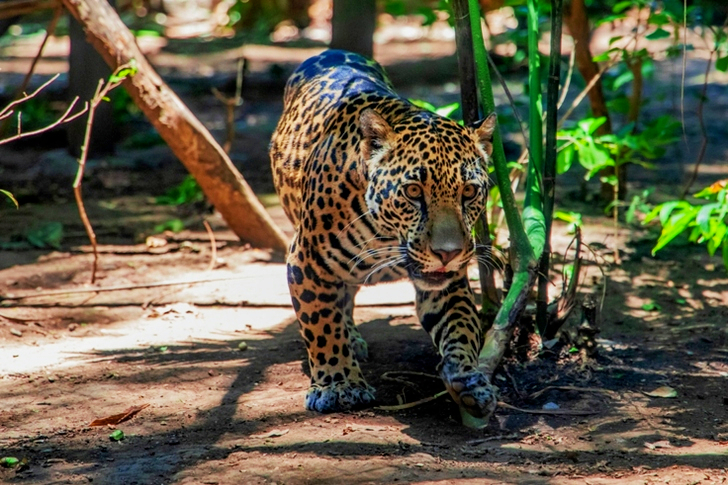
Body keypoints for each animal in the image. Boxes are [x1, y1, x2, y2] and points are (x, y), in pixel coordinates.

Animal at [269, 49, 498, 418]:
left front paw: (467, 378)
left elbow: (462, 325)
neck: (388, 237)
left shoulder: (447, 282)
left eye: (469, 192)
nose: (448, 252)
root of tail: (330, 51)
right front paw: (339, 385)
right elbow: (321, 324)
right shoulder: (306, 261)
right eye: (413, 191)